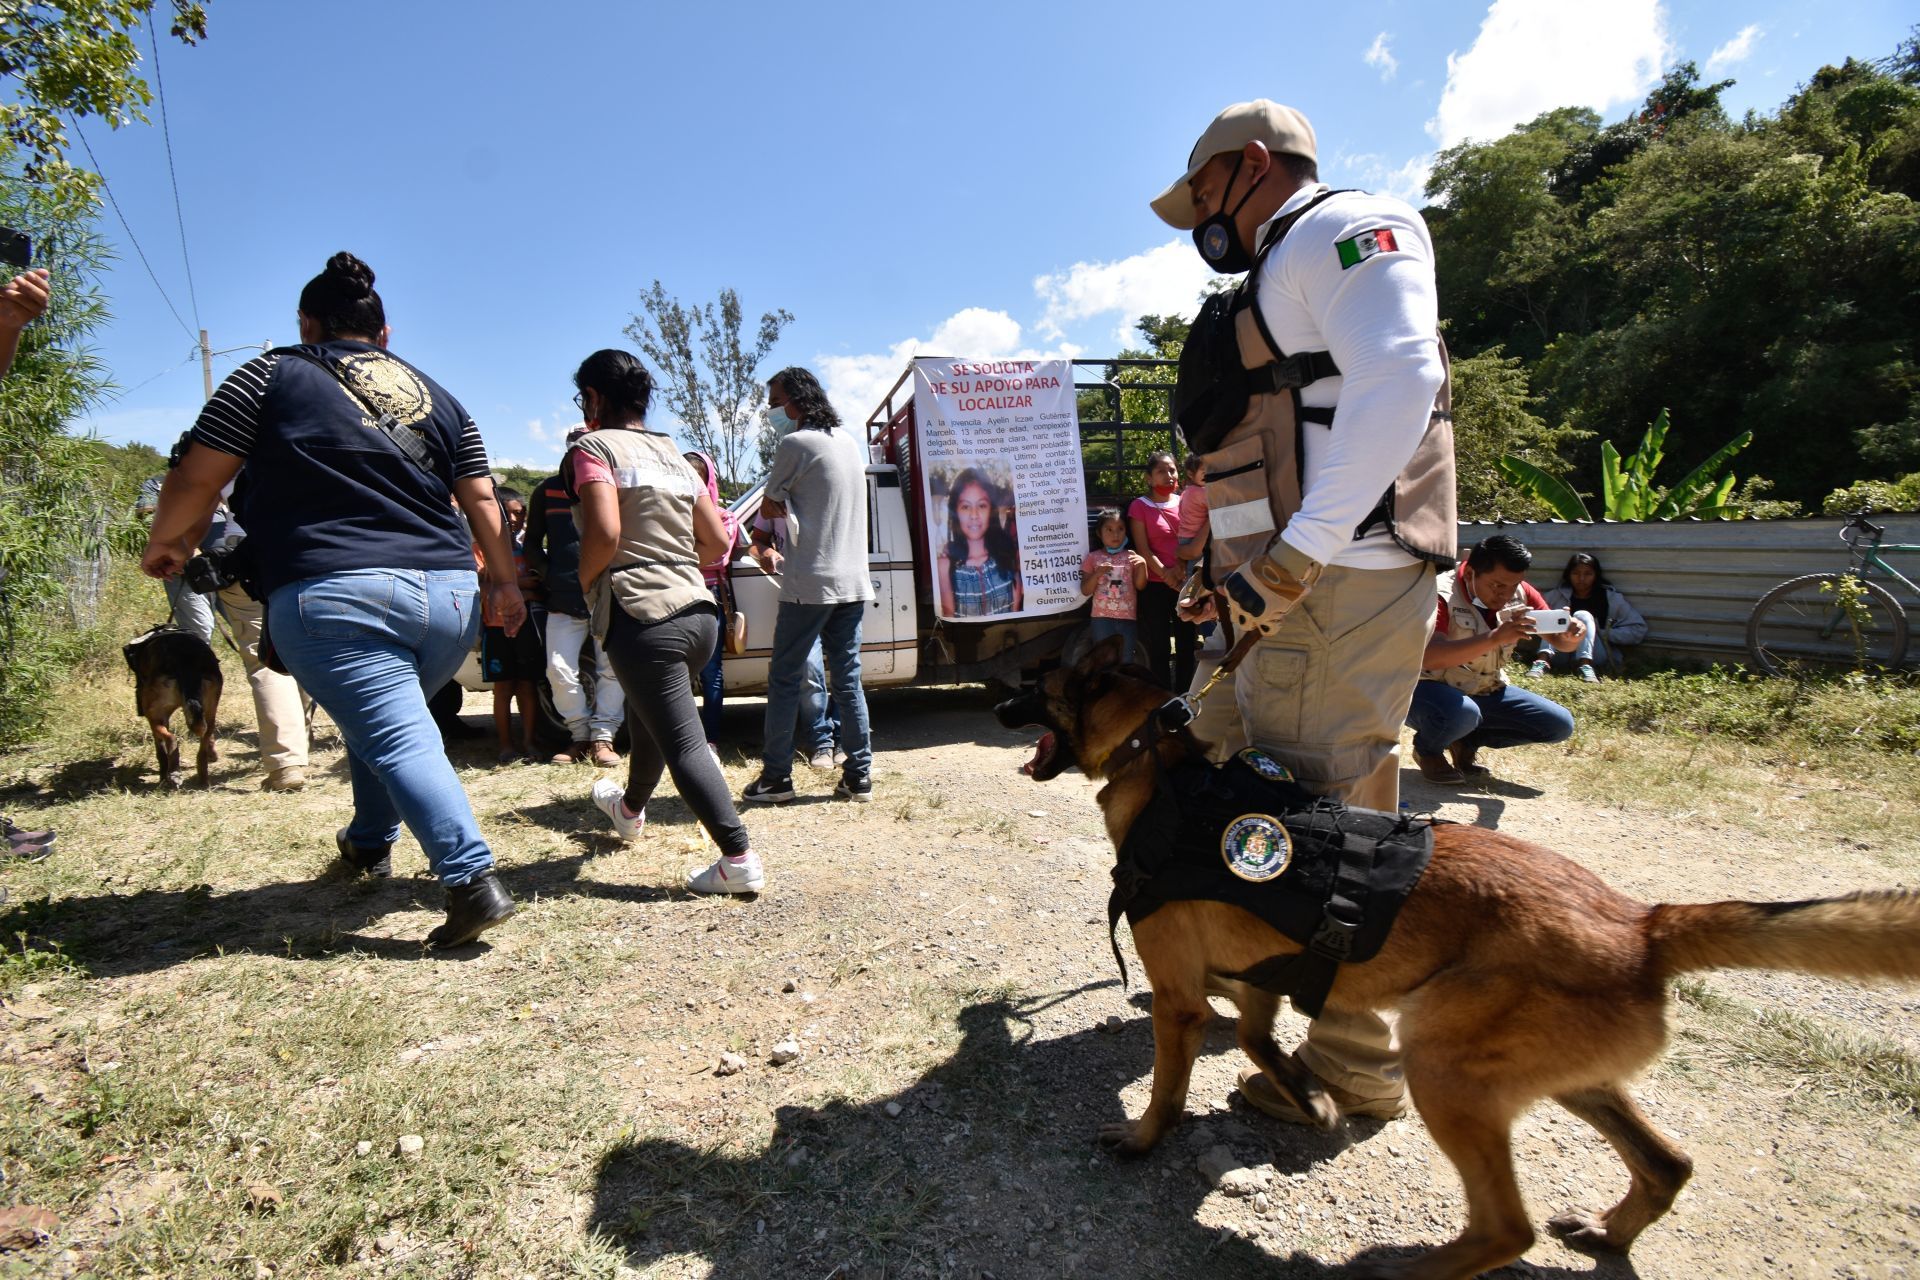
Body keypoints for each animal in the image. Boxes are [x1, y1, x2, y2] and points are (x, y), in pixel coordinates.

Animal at [123, 621, 222, 786]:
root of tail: (186, 660)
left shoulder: (157, 718)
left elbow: (160, 751)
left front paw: (163, 775)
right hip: (210, 710)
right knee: (204, 741)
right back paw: (203, 778)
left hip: (154, 713)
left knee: (171, 739)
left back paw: (174, 772)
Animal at [998, 637, 1912, 1280]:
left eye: (1038, 681)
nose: (999, 697)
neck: (1161, 764)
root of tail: (1644, 925)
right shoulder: (1259, 985)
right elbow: (1262, 1042)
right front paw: (1310, 1101)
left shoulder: (1180, 1002)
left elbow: (1168, 1085)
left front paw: (1143, 1138)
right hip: (1566, 1076)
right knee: (1667, 1163)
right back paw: (1609, 1231)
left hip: (1445, 1069)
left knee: (1509, 1227)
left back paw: (1413, 1268)